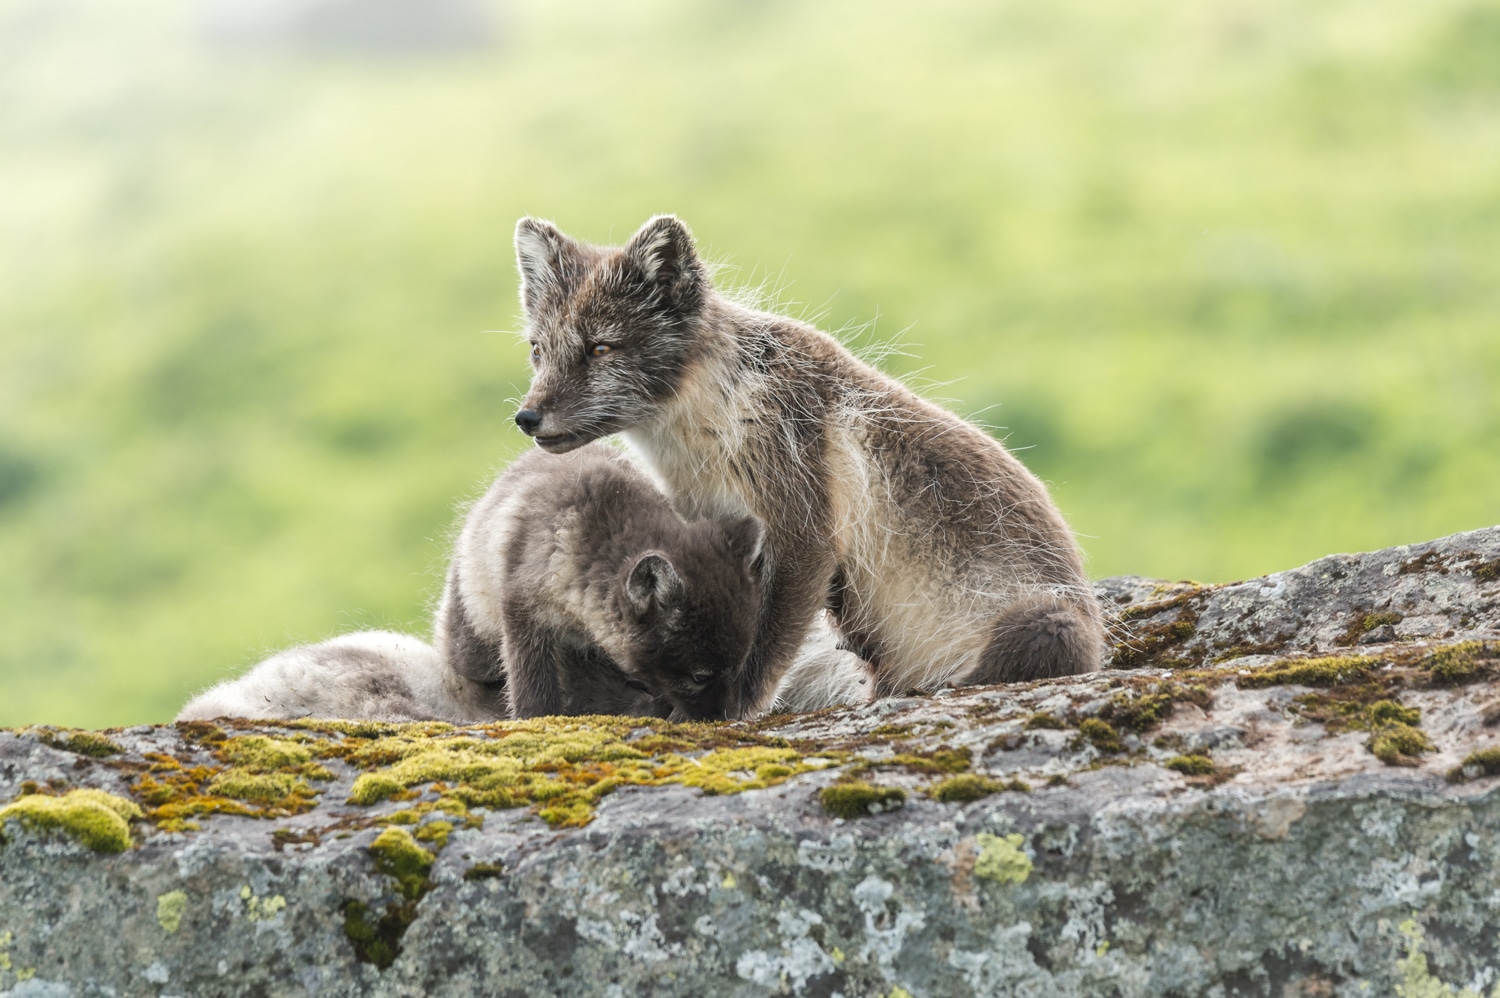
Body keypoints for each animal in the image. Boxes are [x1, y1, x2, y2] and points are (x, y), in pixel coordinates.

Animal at [510, 211, 1110, 717]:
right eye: (538, 349)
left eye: (600, 348)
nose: (526, 417)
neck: (711, 419)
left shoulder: (802, 521)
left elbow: (766, 645)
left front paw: (733, 710)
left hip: (1046, 623)